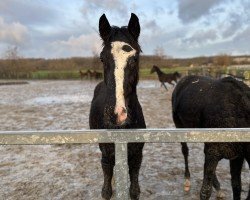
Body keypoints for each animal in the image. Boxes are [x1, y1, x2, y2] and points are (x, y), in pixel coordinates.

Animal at [89, 13, 146, 199]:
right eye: (102, 58)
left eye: (135, 58)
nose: (117, 114)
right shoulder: (106, 157)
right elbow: (106, 190)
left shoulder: (136, 157)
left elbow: (134, 191)